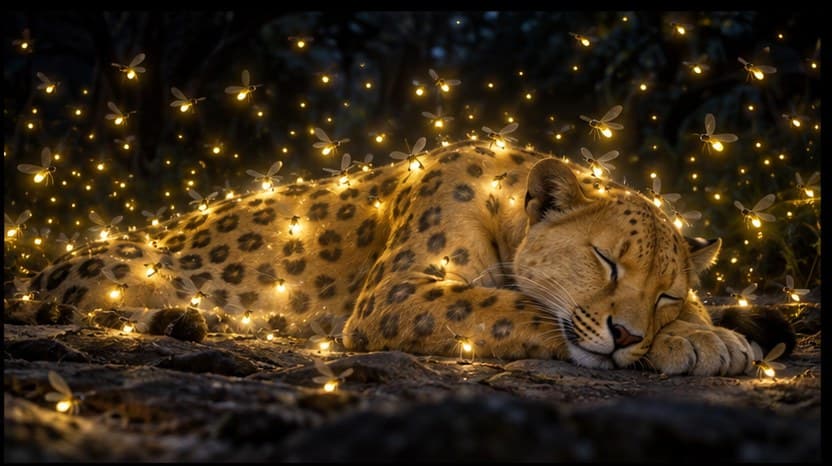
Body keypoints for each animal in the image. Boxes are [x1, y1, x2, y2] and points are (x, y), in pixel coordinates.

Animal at [10, 140, 792, 375]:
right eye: (606, 260)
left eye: (666, 292)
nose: (629, 333)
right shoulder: (400, 292)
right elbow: (511, 306)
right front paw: (698, 343)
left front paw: (707, 334)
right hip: (129, 268)